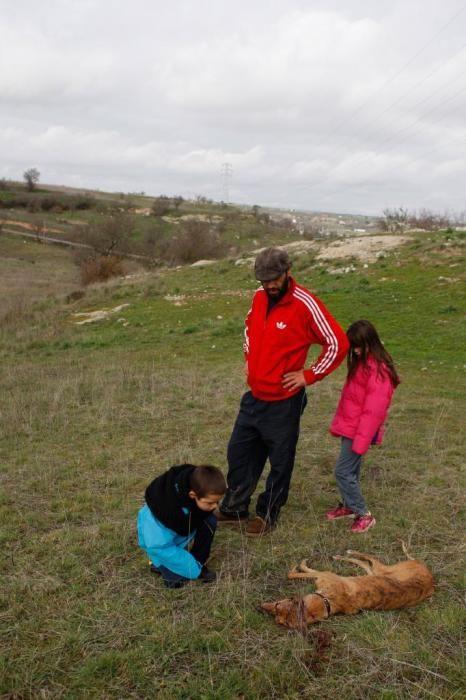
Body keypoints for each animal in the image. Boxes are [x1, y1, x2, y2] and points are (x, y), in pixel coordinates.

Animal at [260, 548, 436, 632]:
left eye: (279, 603)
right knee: (365, 564)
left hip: (383, 570)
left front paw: (300, 564)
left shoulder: (324, 574)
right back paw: (344, 557)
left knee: (370, 558)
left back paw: (347, 553)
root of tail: (429, 574)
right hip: (375, 573)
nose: (260, 608)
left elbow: (294, 573)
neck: (327, 602)